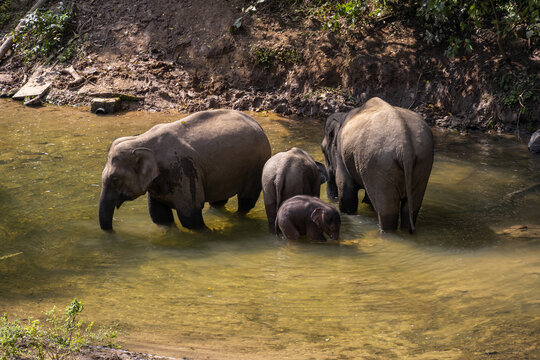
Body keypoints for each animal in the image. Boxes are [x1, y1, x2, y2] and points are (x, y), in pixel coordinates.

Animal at [98, 108, 270, 231]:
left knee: (246, 201)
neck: (142, 139)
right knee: (219, 200)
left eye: (115, 179)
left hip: (256, 165)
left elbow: (189, 215)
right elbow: (160, 216)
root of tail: (258, 125)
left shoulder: (184, 169)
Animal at [320, 97, 434, 233]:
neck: (344, 116)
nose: (332, 199)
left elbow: (347, 194)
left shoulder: (341, 156)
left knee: (387, 213)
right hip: (423, 162)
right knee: (410, 210)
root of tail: (405, 145)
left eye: (322, 150)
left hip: (379, 164)